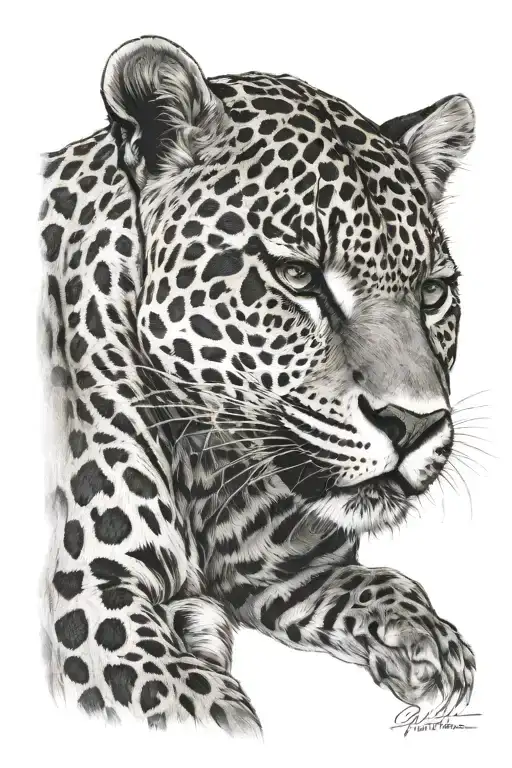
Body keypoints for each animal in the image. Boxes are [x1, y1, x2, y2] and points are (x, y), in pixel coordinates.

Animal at [39, 35, 476, 735]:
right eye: (300, 278)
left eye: (433, 293)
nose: (415, 425)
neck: (210, 465)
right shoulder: (84, 596)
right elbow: (212, 714)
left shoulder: (288, 574)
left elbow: (383, 582)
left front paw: (431, 645)